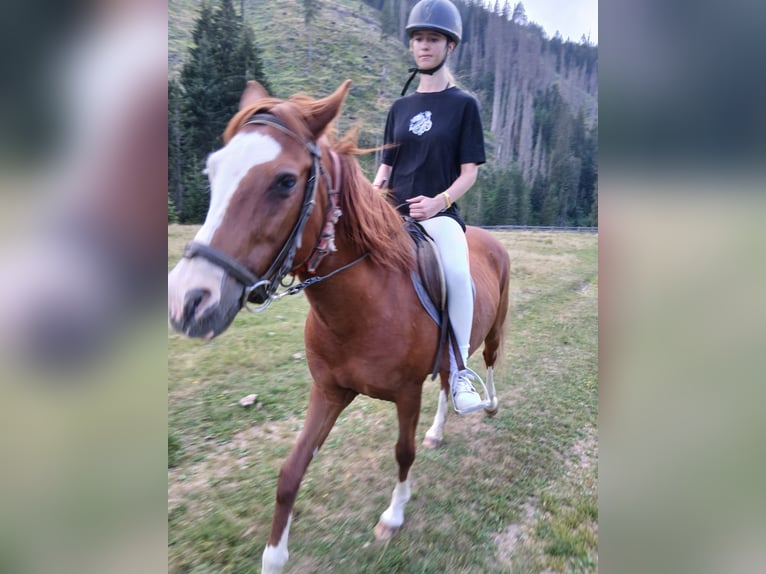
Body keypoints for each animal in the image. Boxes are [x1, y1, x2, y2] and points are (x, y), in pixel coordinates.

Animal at [167, 80, 510, 574]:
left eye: (286, 181)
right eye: (212, 173)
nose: (188, 301)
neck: (363, 308)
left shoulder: (406, 393)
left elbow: (402, 452)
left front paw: (393, 516)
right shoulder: (329, 391)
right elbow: (290, 471)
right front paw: (273, 556)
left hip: (493, 332)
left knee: (488, 361)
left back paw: (489, 404)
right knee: (450, 380)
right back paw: (439, 430)